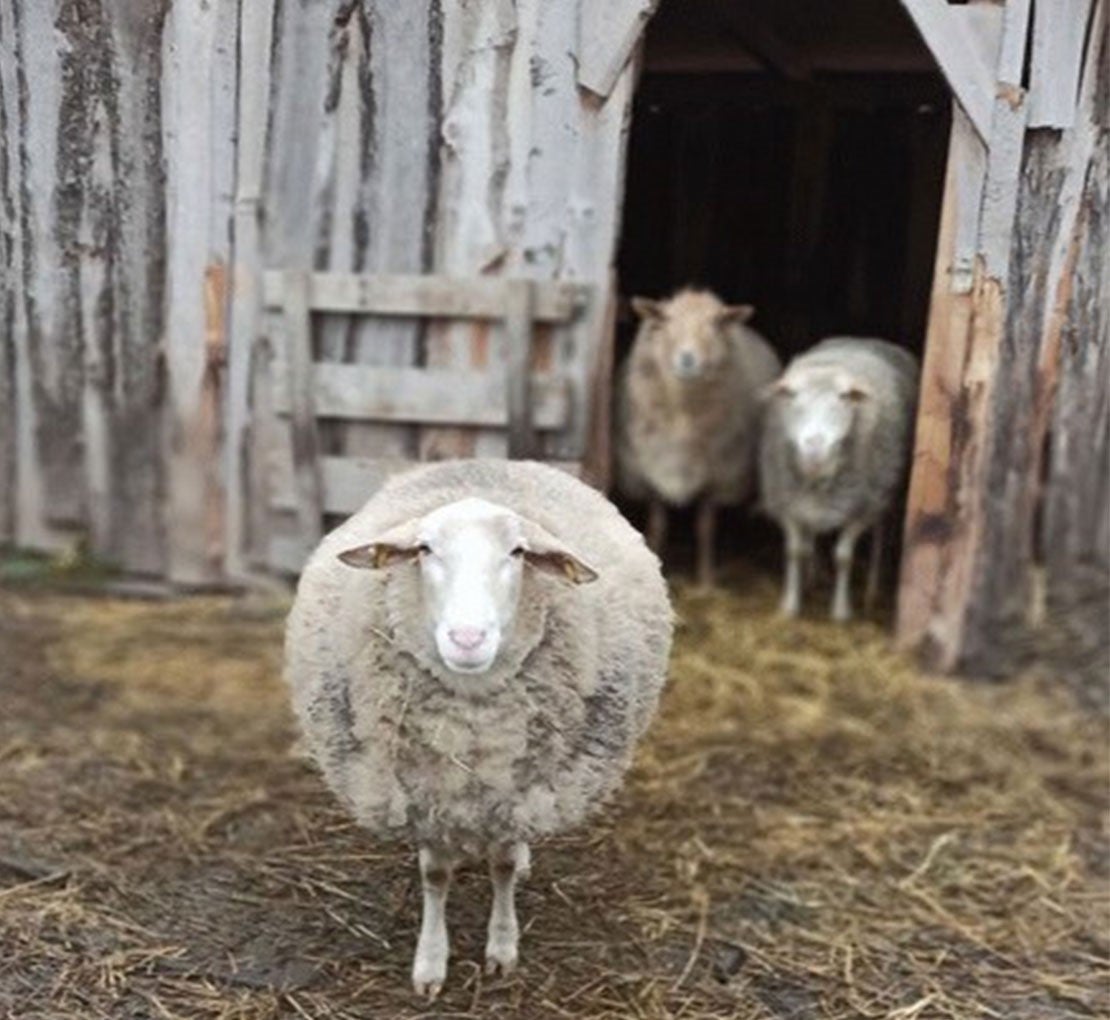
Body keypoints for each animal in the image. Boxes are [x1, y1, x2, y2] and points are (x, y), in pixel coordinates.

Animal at [284, 459, 673, 998]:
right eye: (424, 549)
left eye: (519, 551)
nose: (467, 638)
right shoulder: (424, 794)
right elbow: (435, 876)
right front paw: (430, 963)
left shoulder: (514, 794)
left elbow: (503, 866)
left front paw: (502, 948)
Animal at [615, 288, 782, 587]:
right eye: (667, 321)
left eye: (716, 324)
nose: (687, 359)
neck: (683, 415)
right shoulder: (650, 473)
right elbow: (657, 526)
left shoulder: (718, 478)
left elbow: (706, 528)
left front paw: (706, 582)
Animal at [758, 337, 919, 621]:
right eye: (791, 394)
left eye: (845, 397)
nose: (815, 448)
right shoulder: (787, 503)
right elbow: (795, 551)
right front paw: (791, 604)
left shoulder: (862, 510)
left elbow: (843, 556)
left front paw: (841, 610)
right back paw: (813, 577)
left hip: (883, 492)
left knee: (880, 535)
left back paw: (872, 588)